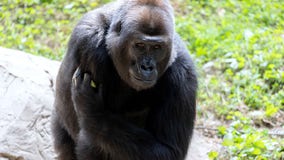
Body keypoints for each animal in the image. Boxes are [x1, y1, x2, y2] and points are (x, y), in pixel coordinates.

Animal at [51, 0, 197, 160]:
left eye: (157, 47)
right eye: (139, 45)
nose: (147, 67)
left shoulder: (183, 74)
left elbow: (169, 150)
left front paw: (93, 112)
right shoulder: (88, 40)